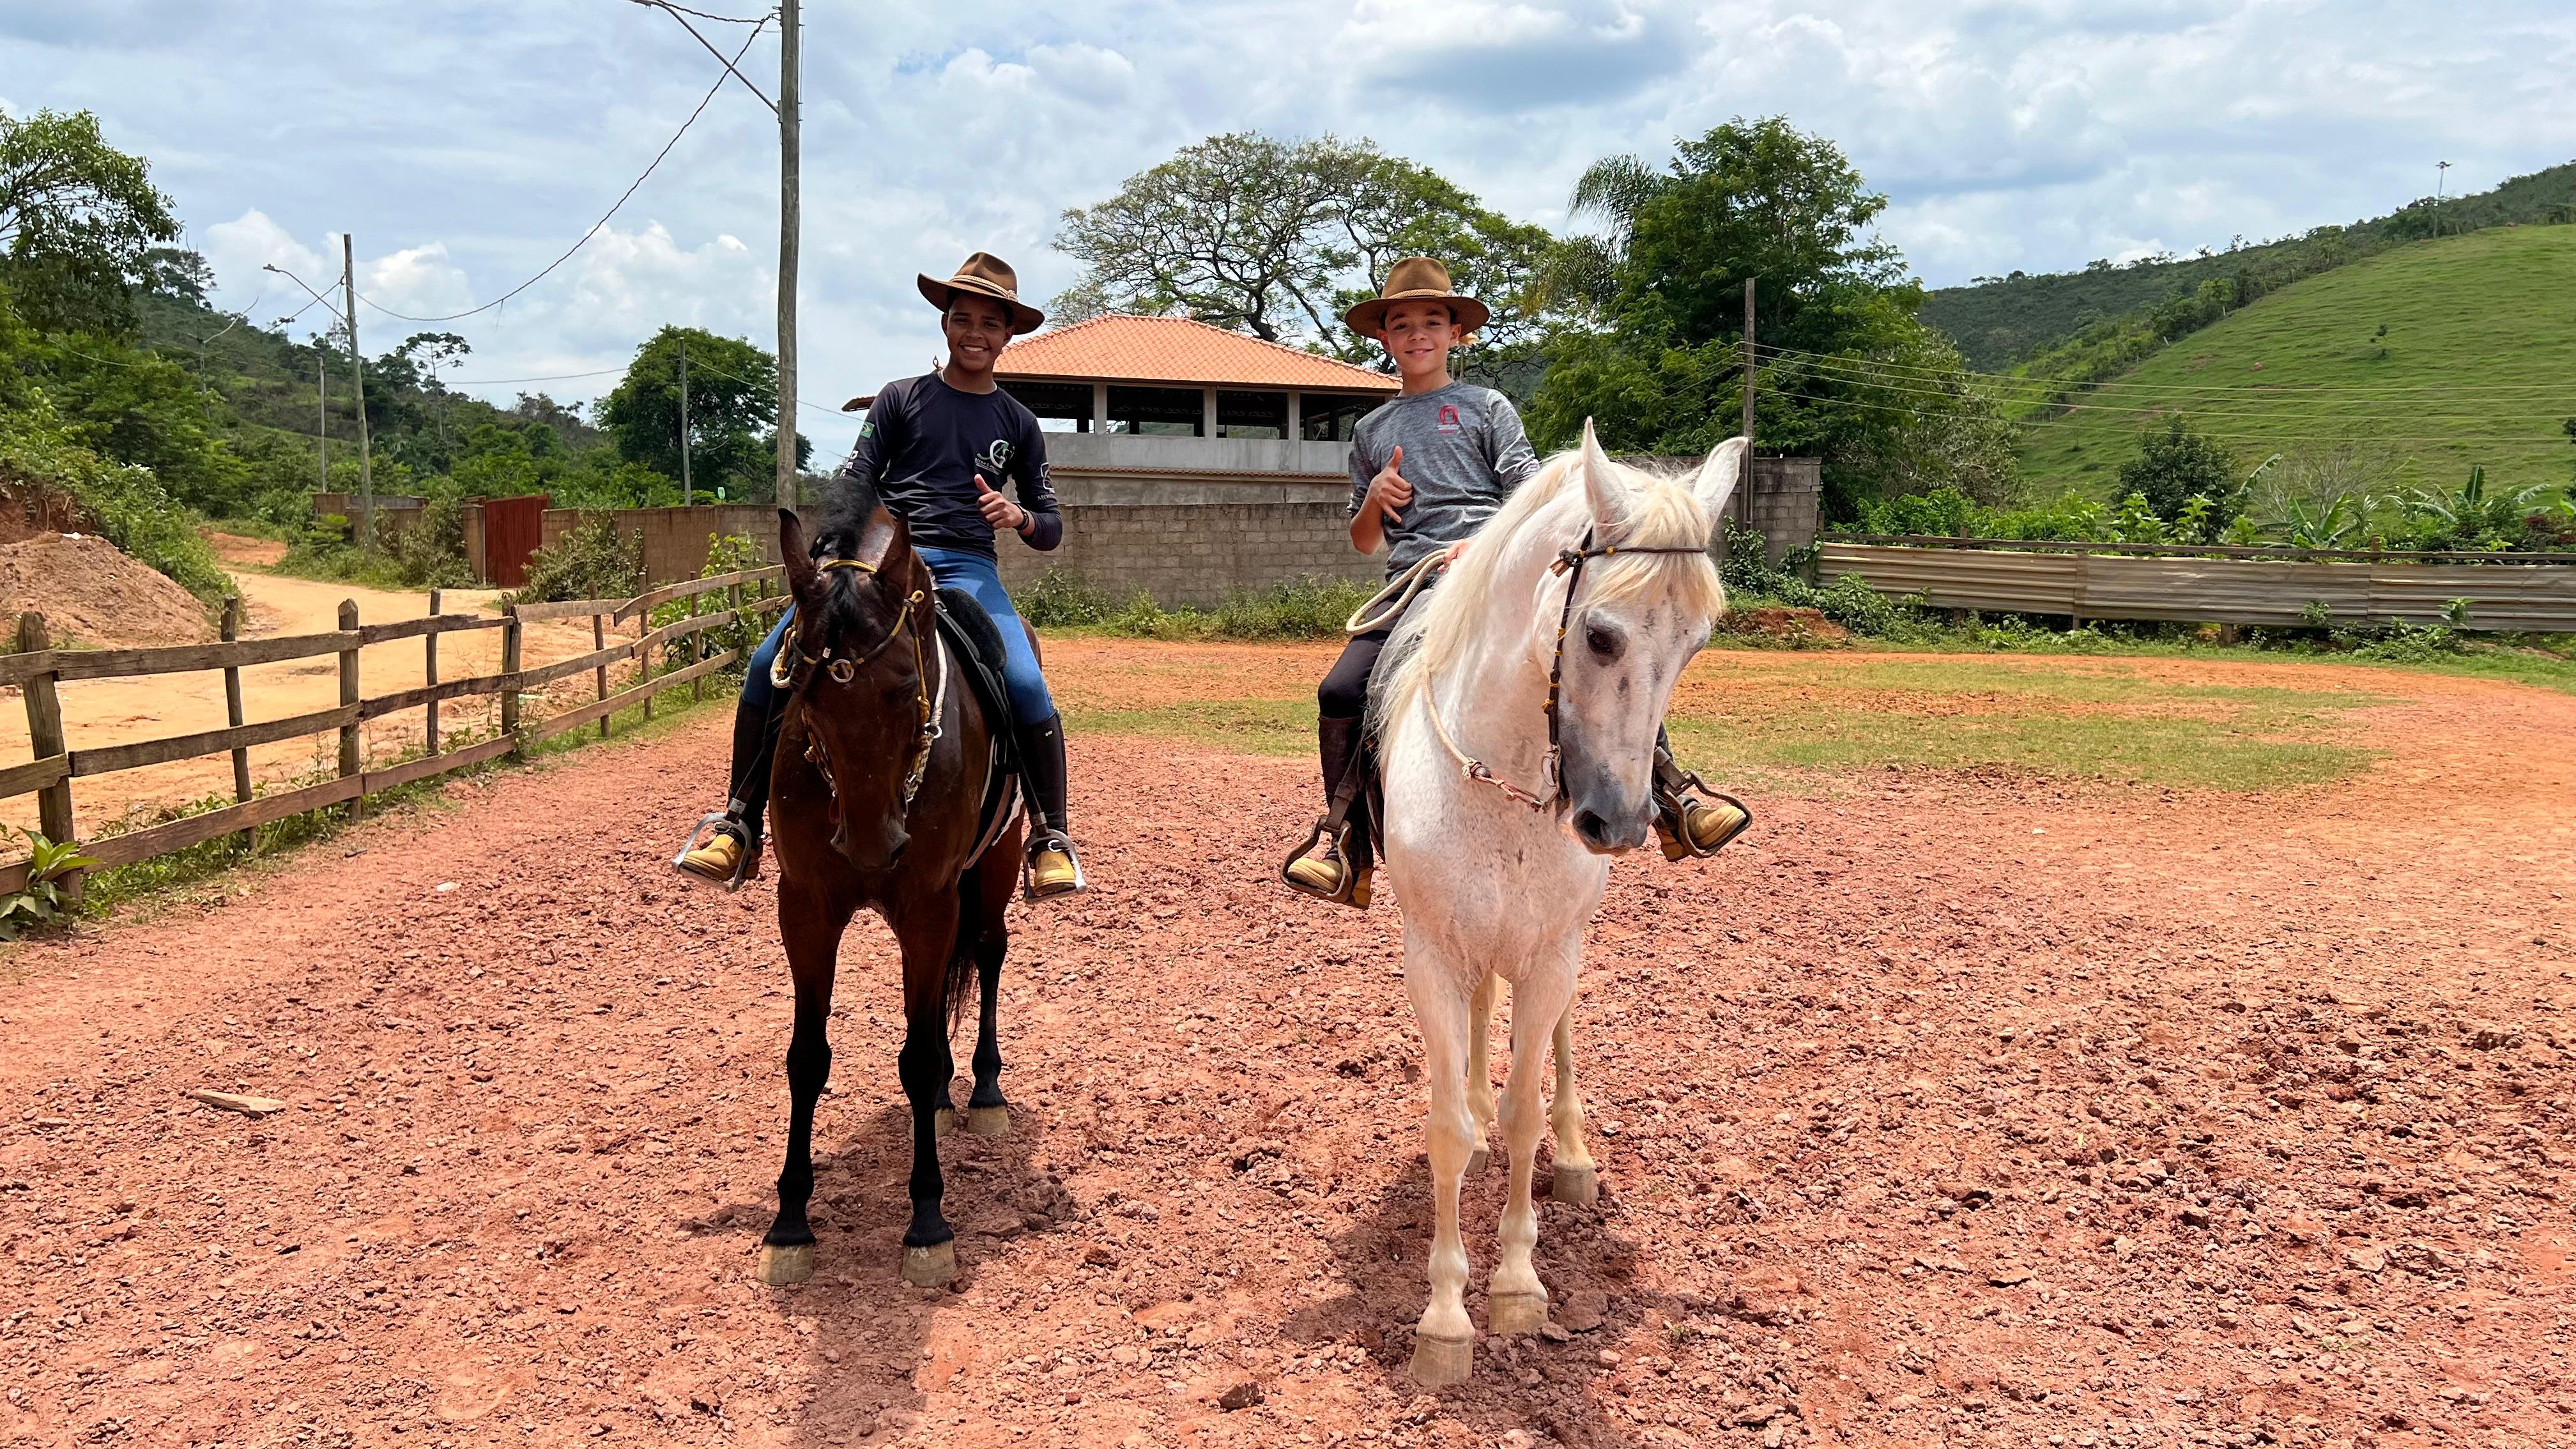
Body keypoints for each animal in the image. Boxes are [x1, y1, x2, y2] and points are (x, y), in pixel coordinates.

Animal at [752, 487, 1020, 1284]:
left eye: (906, 690)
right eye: (802, 694)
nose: (874, 848)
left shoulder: (928, 904)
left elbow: (921, 1055)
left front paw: (928, 1223)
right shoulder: (805, 906)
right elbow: (807, 1057)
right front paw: (790, 1223)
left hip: (997, 867)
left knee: (988, 954)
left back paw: (984, 1091)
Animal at [1360, 417, 1741, 1371]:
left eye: (1695, 645)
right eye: (1599, 635)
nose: (1618, 820)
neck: (1506, 782)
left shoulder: (1550, 955)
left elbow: (1526, 1113)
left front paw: (1518, 1286)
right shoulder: (1431, 953)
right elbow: (1449, 1128)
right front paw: (1445, 1319)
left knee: (1559, 1050)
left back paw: (1573, 1155)